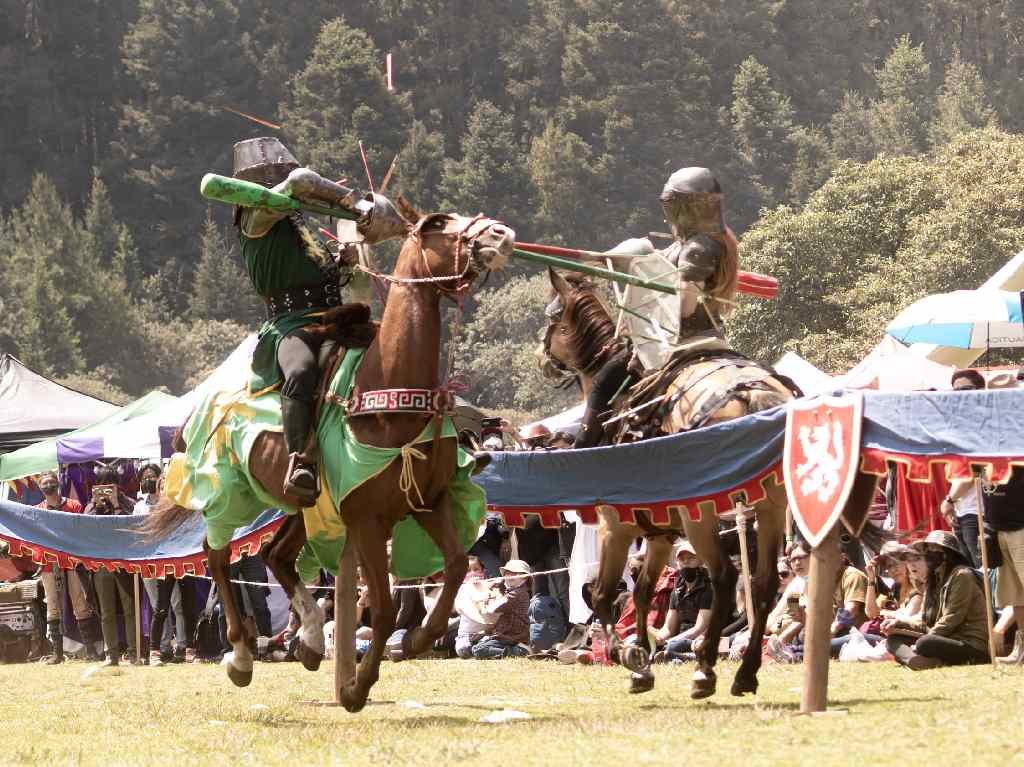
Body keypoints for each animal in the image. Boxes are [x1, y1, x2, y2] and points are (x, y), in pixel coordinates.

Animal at [145, 203, 516, 712]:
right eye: (438, 224)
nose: (500, 234)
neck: (386, 393)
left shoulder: (428, 502)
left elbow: (457, 567)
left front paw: (418, 638)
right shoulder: (366, 519)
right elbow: (382, 607)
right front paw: (357, 687)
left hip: (304, 505)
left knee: (277, 556)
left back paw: (309, 639)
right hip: (232, 494)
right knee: (216, 555)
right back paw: (241, 655)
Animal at [540, 270, 794, 700]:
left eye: (553, 316)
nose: (543, 360)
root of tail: (754, 396)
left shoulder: (615, 527)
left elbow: (605, 595)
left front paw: (629, 656)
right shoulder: (659, 534)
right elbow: (642, 592)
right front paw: (641, 662)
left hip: (702, 517)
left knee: (724, 577)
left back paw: (705, 670)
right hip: (770, 508)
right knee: (761, 584)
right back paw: (745, 673)